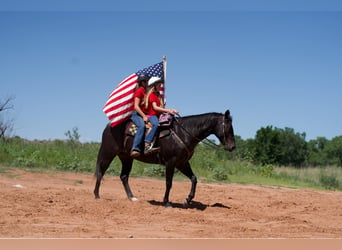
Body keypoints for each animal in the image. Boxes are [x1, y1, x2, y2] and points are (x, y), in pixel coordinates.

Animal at [93, 109, 235, 207]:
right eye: (228, 127)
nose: (232, 147)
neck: (183, 133)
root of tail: (109, 126)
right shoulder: (170, 162)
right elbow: (169, 183)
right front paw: (166, 202)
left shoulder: (182, 163)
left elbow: (194, 179)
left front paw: (187, 200)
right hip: (108, 153)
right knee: (100, 172)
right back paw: (97, 195)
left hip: (127, 158)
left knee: (123, 176)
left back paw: (132, 197)